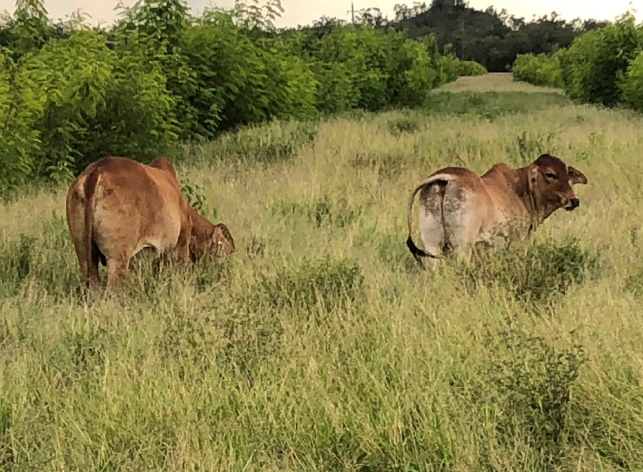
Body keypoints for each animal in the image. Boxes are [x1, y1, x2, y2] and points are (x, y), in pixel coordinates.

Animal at [65, 156, 235, 288]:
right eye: (224, 252)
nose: (226, 273)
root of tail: (97, 170)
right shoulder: (180, 244)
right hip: (117, 258)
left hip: (84, 254)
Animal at [408, 154, 588, 268]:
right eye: (550, 174)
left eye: (567, 174)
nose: (574, 200)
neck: (520, 189)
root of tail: (446, 179)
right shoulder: (518, 241)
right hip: (462, 246)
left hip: (431, 244)